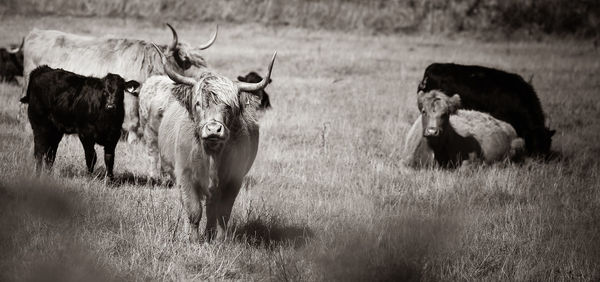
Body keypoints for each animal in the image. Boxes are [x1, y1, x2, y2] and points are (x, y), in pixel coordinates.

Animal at [21, 23, 218, 143]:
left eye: (201, 60)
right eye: (187, 61)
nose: (209, 74)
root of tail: (36, 32)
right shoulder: (130, 97)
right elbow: (133, 121)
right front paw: (133, 141)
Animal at [152, 43, 278, 241]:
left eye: (229, 105)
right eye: (198, 103)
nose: (213, 129)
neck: (212, 153)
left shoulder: (234, 179)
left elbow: (223, 212)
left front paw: (219, 239)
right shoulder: (185, 176)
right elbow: (193, 210)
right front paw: (192, 239)